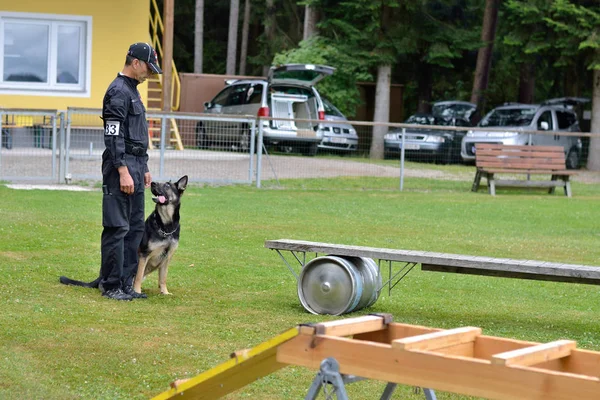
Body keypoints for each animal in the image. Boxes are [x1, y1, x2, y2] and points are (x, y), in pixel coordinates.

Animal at [60, 176, 188, 296]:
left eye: (167, 185)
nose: (152, 183)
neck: (165, 225)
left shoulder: (167, 257)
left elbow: (163, 278)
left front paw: (165, 292)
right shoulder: (144, 255)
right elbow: (138, 276)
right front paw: (137, 291)